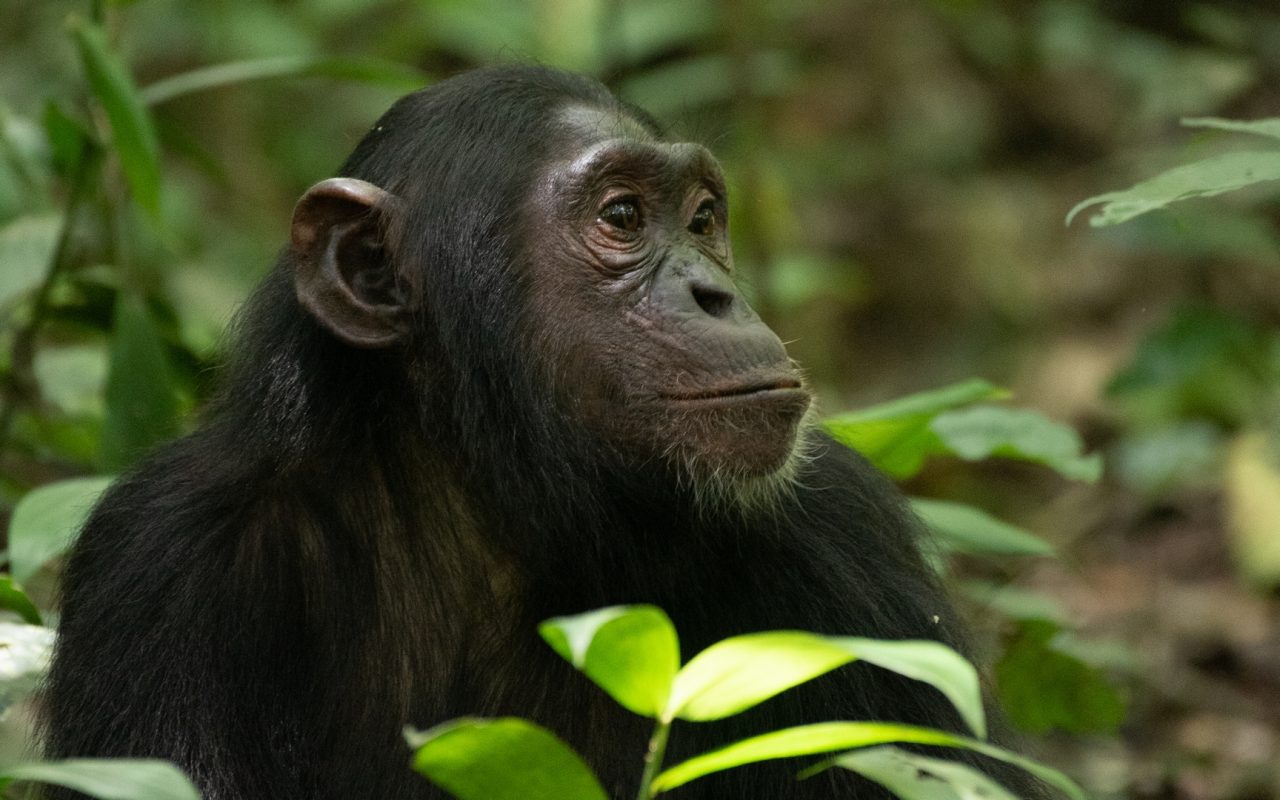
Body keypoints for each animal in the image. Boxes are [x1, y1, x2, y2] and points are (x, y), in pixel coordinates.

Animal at [42, 65, 1039, 793]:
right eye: (623, 215)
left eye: (703, 218)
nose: (715, 293)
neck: (493, 503)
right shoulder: (158, 561)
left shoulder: (851, 549)